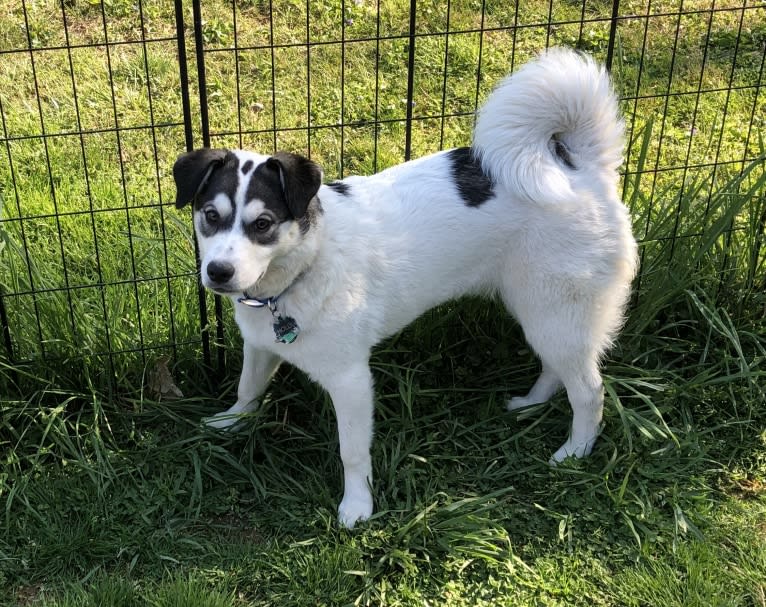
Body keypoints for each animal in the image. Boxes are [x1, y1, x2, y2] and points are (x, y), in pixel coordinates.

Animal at [176, 48, 640, 528]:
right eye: (210, 216)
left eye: (263, 224)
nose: (219, 272)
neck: (306, 262)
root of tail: (582, 169)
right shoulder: (260, 346)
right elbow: (247, 388)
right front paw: (232, 423)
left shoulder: (350, 380)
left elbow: (352, 453)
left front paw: (357, 505)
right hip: (542, 311)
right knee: (558, 369)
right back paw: (532, 403)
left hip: (556, 311)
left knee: (588, 391)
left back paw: (575, 452)